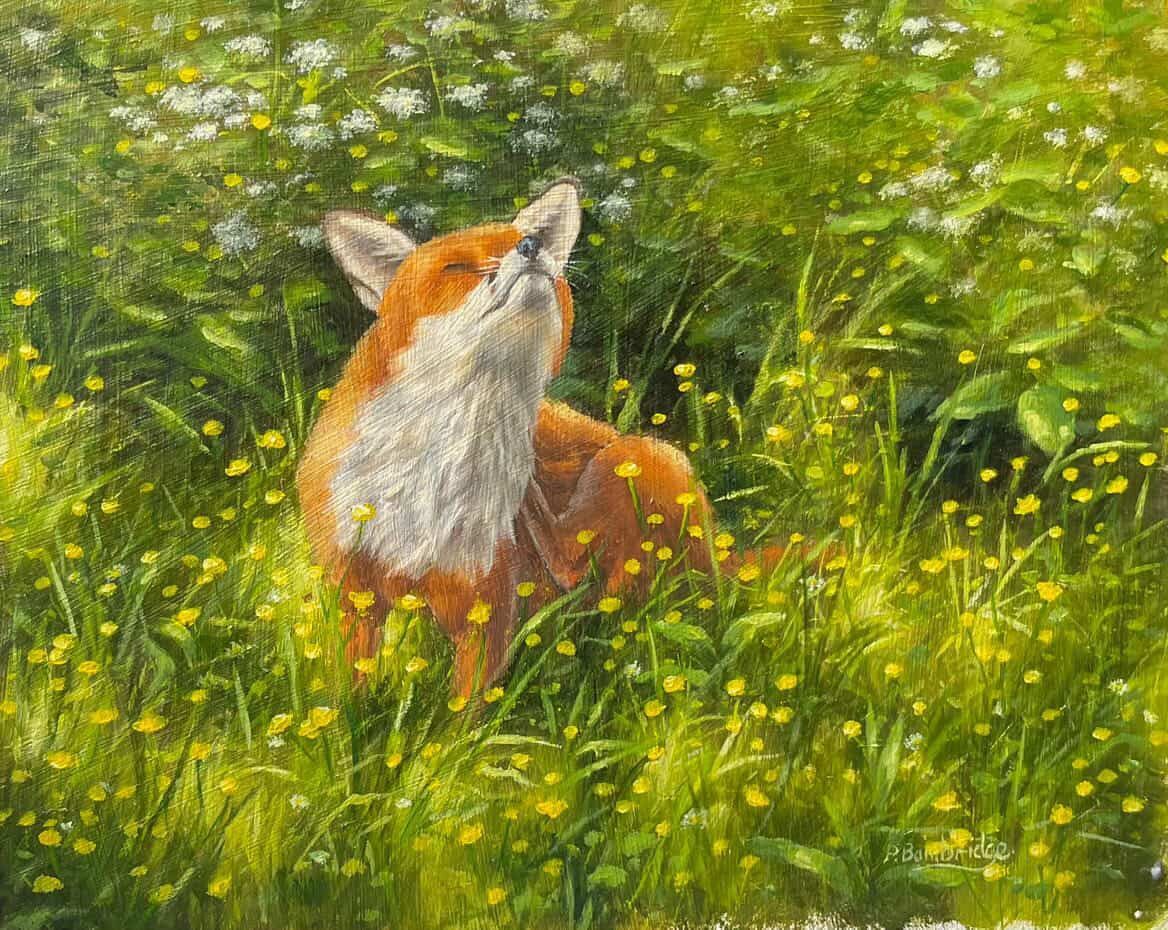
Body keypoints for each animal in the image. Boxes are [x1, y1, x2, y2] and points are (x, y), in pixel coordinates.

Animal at [298, 178, 735, 697]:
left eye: (529, 241)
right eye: (457, 267)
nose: (531, 248)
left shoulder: (486, 603)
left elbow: (466, 708)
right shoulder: (354, 593)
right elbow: (347, 690)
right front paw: (347, 719)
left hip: (639, 455)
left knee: (588, 579)